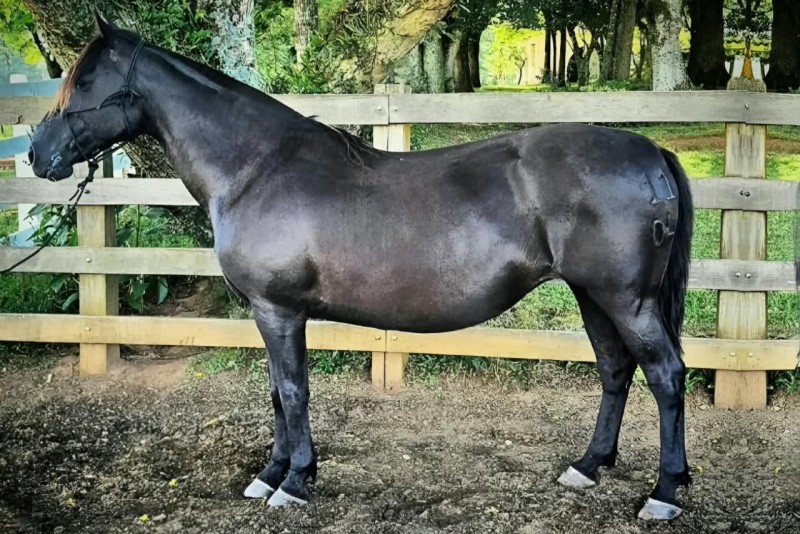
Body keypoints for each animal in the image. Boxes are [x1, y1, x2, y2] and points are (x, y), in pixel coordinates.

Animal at [28, 13, 694, 521]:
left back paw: (663, 493)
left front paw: (294, 483)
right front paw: (270, 473)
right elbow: (275, 391)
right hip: (592, 295)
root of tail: (649, 152)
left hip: (626, 300)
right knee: (615, 369)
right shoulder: (268, 313)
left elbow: (293, 391)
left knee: (664, 375)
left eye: (85, 81)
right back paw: (588, 467)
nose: (37, 153)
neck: (256, 168)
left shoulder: (279, 311)